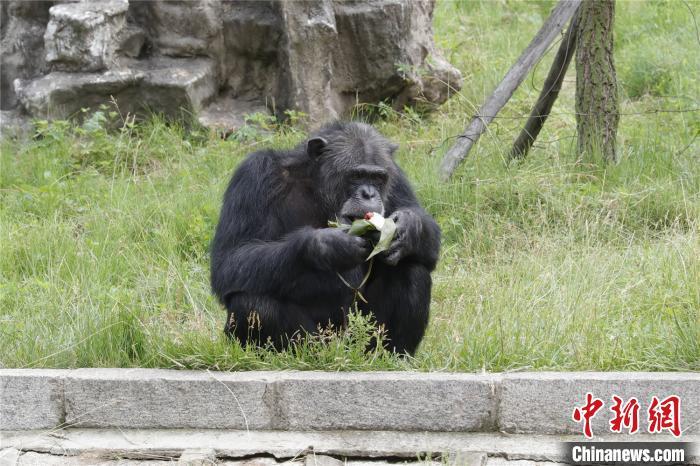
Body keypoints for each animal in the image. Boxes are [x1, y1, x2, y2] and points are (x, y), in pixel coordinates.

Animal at [209, 120, 438, 354]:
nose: (369, 193)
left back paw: (388, 356)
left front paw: (406, 227)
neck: (315, 186)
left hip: (356, 338)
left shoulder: (397, 175)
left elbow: (431, 246)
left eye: (378, 178)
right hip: (316, 342)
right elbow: (231, 259)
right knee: (253, 303)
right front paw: (328, 246)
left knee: (413, 271)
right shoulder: (254, 173)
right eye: (356, 175)